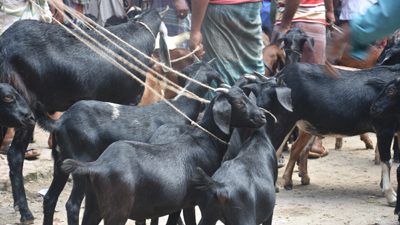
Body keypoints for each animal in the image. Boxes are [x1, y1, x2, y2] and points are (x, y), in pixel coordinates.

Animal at [41, 60, 222, 225]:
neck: (179, 108)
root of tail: (60, 121)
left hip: (60, 162)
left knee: (50, 198)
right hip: (81, 162)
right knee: (72, 205)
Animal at [59, 86, 266, 225]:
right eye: (239, 102)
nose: (262, 117)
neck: (205, 140)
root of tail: (98, 165)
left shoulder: (177, 204)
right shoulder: (193, 200)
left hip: (94, 204)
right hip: (117, 210)